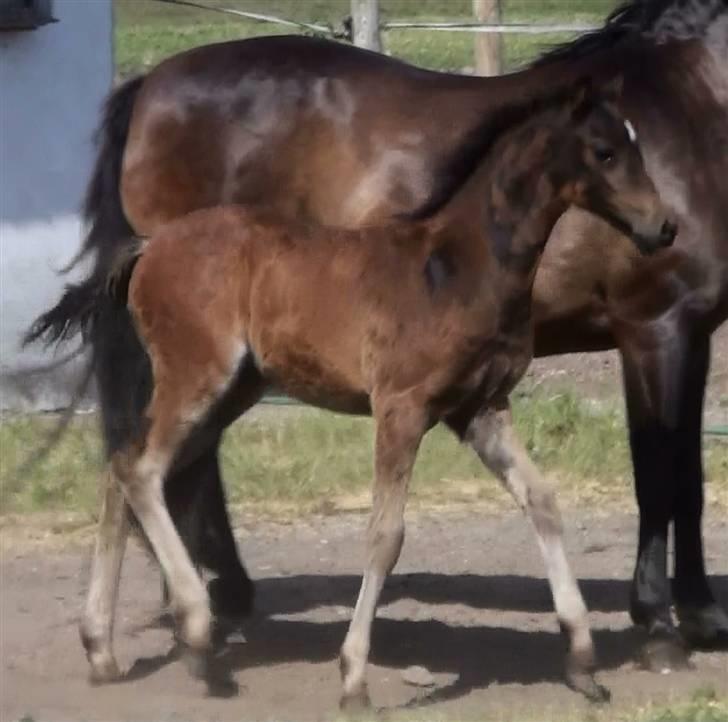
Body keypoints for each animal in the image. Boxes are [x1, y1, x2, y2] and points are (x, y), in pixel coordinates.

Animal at [26, 0, 728, 671]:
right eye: (607, 153)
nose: (660, 227)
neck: (692, 104)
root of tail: (148, 84)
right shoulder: (654, 328)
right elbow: (659, 475)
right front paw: (660, 628)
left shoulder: (693, 331)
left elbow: (689, 479)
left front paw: (700, 616)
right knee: (160, 460)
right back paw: (201, 604)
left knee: (163, 459)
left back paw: (195, 604)